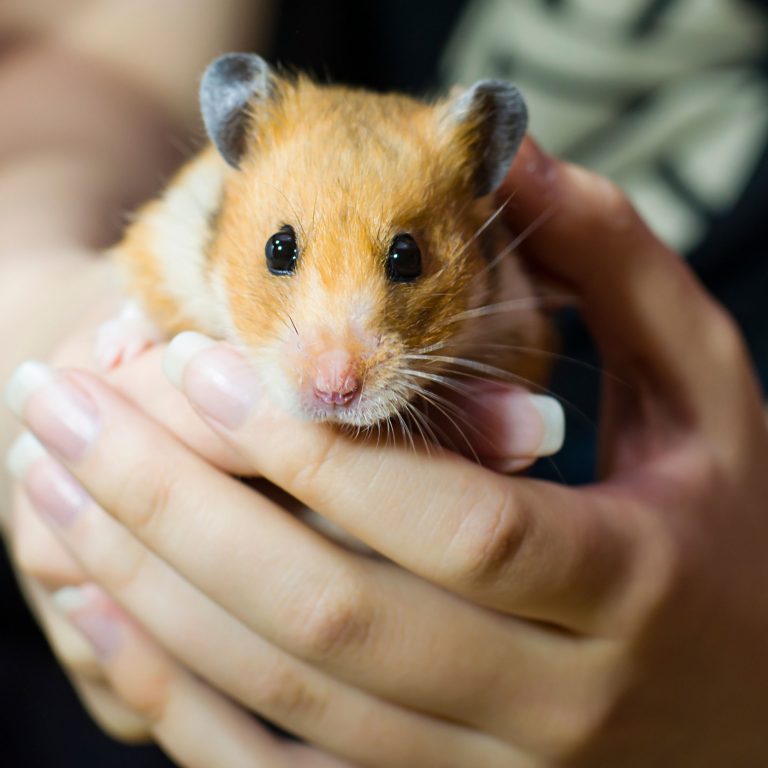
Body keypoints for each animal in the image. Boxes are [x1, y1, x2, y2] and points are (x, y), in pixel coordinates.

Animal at [102, 54, 556, 428]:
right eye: (278, 248)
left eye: (408, 257)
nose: (335, 391)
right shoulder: (165, 239)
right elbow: (143, 305)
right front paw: (110, 355)